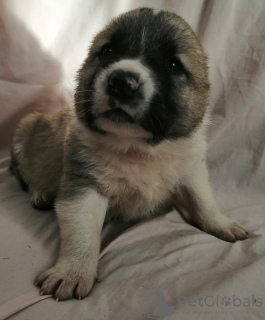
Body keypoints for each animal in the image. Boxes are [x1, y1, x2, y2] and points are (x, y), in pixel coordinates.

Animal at [9, 8, 246, 302]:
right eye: (108, 51)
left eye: (173, 65)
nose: (121, 83)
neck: (139, 149)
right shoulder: (84, 188)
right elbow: (83, 233)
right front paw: (73, 271)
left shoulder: (191, 171)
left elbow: (204, 201)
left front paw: (219, 222)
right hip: (24, 131)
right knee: (24, 174)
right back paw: (40, 193)